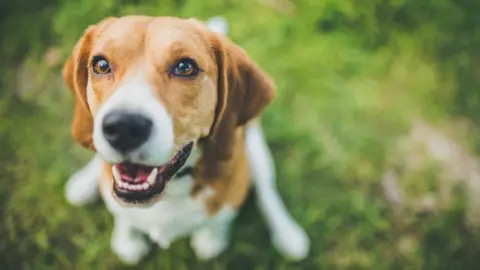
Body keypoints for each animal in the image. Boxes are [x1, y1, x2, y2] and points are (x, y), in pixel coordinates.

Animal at [62, 15, 310, 264]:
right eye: (101, 65)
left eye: (185, 67)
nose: (123, 127)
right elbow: (123, 215)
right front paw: (127, 238)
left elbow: (220, 223)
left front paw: (212, 237)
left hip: (256, 150)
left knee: (267, 190)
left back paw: (288, 234)